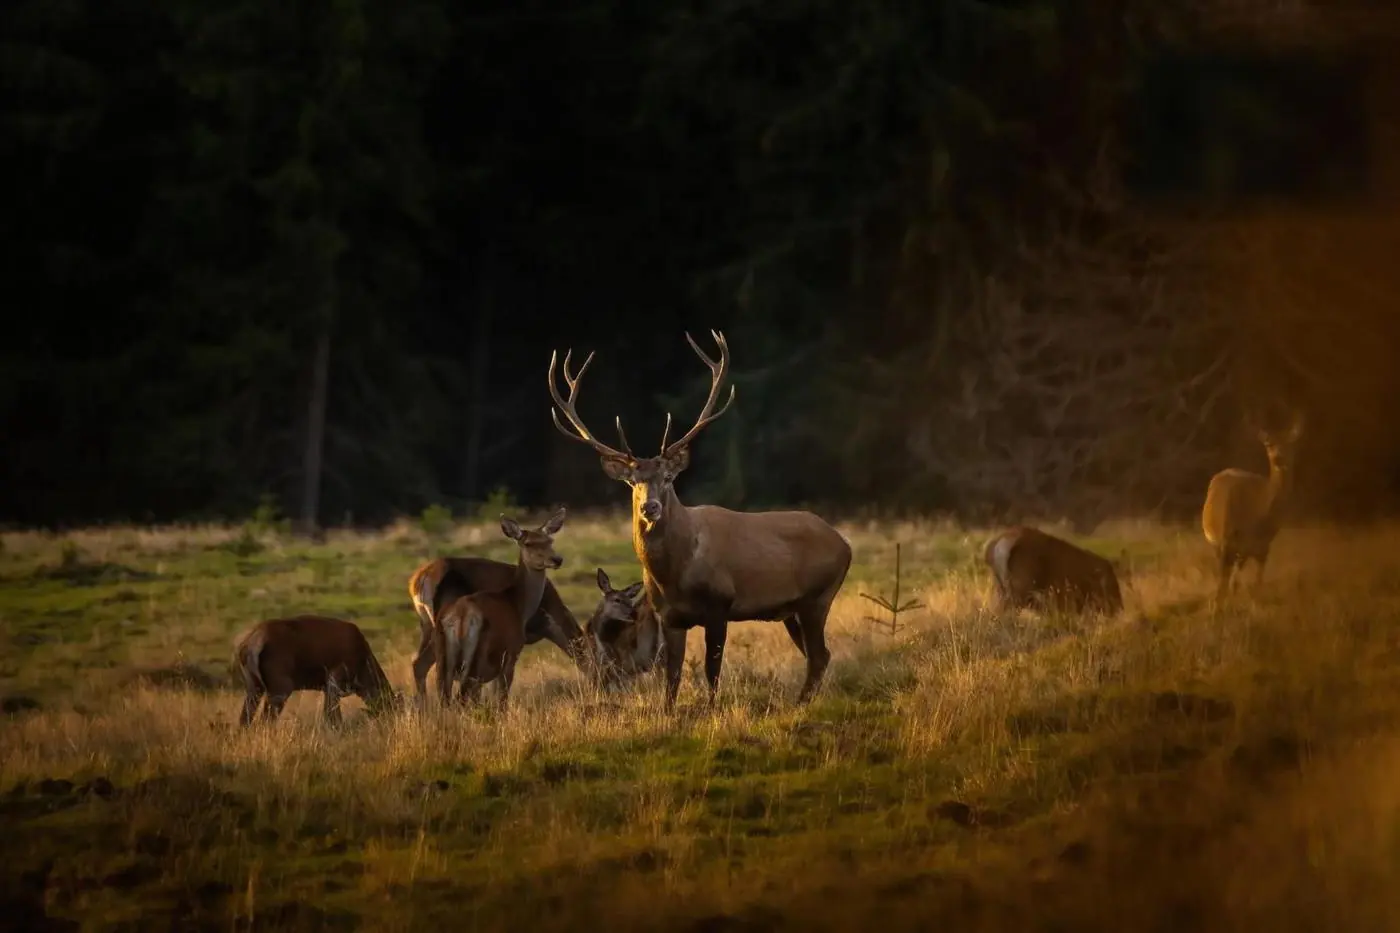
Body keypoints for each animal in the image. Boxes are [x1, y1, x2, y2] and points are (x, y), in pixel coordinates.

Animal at [233, 615, 402, 727]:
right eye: (392, 709)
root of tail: (249, 645)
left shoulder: (327, 687)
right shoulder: (335, 678)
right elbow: (332, 716)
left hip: (253, 685)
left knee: (245, 719)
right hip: (280, 685)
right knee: (265, 720)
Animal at [433, 510, 567, 711]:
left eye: (550, 540)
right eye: (528, 543)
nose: (557, 559)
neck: (518, 606)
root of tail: (460, 616)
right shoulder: (512, 653)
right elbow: (502, 699)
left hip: (442, 657)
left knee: (444, 698)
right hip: (476, 658)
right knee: (461, 697)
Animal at [547, 329, 852, 711]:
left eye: (668, 478)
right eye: (633, 482)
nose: (650, 508)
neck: (675, 574)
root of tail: (844, 544)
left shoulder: (720, 604)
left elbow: (711, 668)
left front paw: (711, 710)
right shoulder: (669, 617)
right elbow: (672, 676)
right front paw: (667, 713)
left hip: (818, 596)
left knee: (819, 655)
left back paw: (799, 705)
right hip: (793, 609)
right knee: (818, 655)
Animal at [1201, 410, 1306, 604]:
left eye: (1289, 444)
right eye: (1268, 444)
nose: (1278, 458)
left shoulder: (1258, 547)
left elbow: (1249, 583)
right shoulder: (1243, 543)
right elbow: (1237, 584)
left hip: (1231, 546)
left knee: (1230, 579)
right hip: (1226, 540)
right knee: (1225, 579)